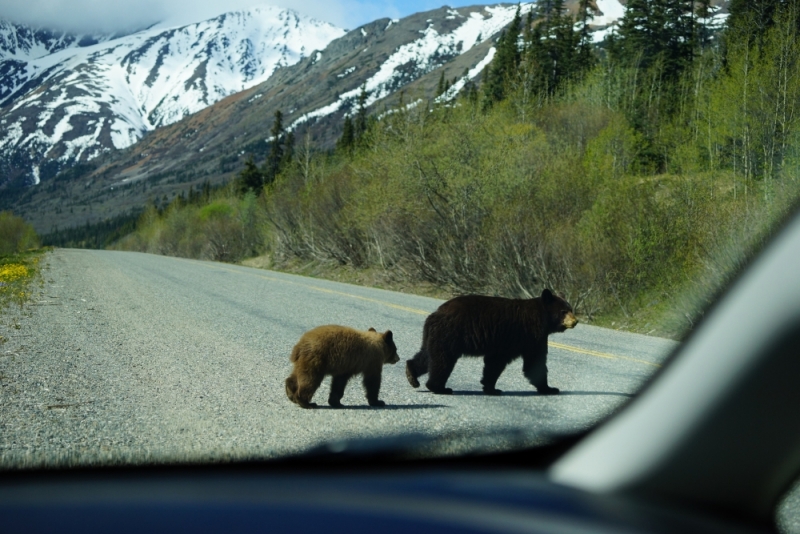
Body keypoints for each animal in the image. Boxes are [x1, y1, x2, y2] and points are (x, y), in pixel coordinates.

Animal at [406, 292, 576, 396]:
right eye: (563, 311)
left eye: (571, 309)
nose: (575, 321)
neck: (543, 318)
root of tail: (434, 314)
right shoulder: (528, 335)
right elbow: (534, 362)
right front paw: (549, 388)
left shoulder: (505, 342)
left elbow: (494, 363)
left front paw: (490, 387)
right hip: (450, 334)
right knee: (442, 360)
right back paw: (439, 387)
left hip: (435, 336)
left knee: (427, 355)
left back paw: (411, 374)